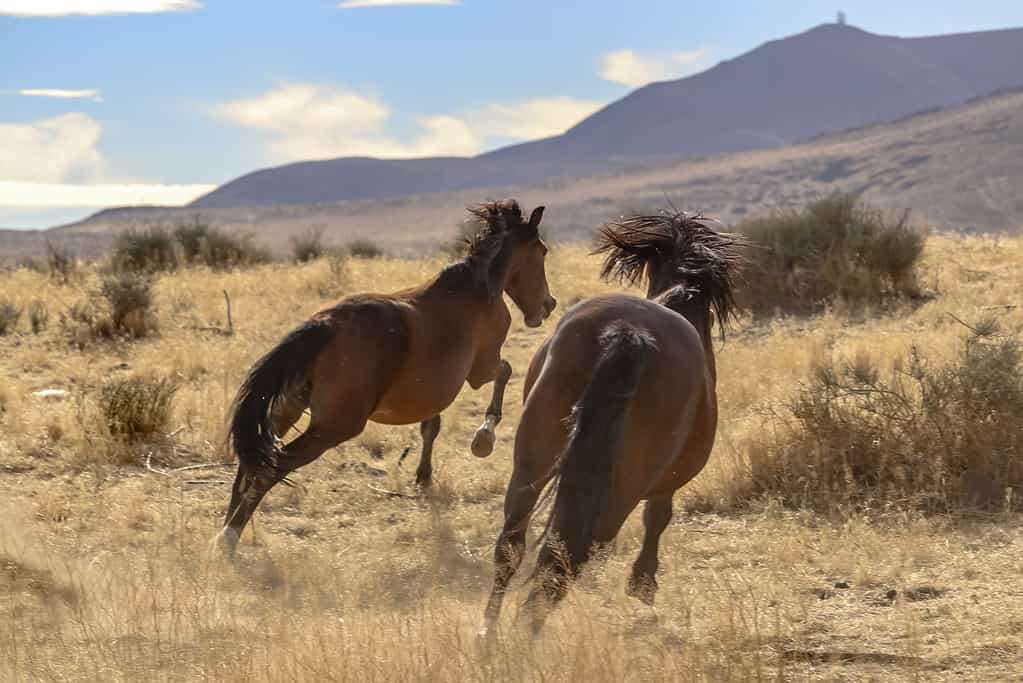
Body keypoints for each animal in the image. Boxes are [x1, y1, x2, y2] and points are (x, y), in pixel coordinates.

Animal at [210, 197, 556, 556]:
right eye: (542, 250)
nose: (548, 305)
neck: (478, 288)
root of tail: (324, 326)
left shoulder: (431, 392)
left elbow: (431, 426)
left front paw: (424, 478)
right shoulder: (481, 369)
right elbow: (505, 371)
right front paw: (483, 438)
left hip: (287, 408)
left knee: (250, 466)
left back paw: (224, 534)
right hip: (334, 426)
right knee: (273, 468)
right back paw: (229, 538)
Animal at [478, 208, 744, 633]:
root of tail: (627, 333)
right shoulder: (666, 480)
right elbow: (659, 514)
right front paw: (643, 581)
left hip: (532, 460)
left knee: (512, 545)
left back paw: (487, 634)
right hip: (623, 487)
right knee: (567, 559)